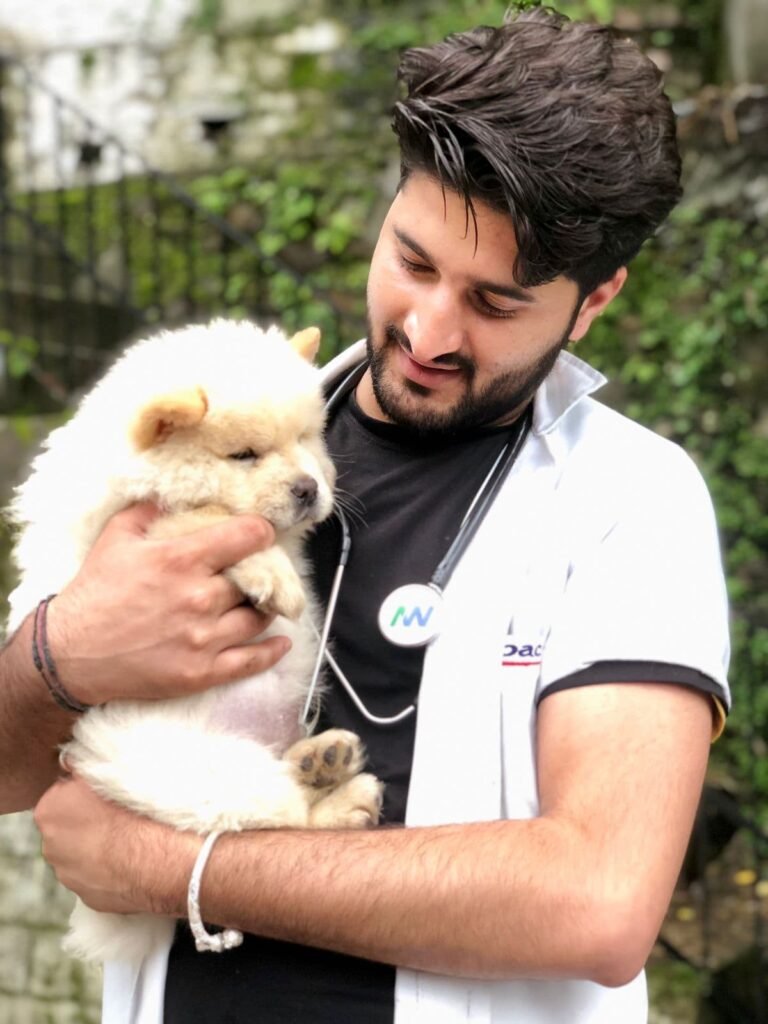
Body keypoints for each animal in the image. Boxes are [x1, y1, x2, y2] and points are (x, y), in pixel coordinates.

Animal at [6, 321, 385, 966]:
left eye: (306, 440)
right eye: (244, 455)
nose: (308, 487)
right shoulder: (115, 534)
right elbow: (204, 518)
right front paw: (273, 577)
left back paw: (321, 760)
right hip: (202, 777)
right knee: (275, 821)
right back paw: (339, 792)